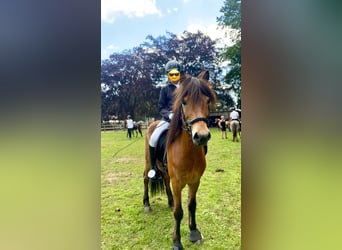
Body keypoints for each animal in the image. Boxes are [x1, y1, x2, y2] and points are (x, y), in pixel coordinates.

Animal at [143, 70, 215, 250]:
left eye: (207, 101)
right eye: (184, 102)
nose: (201, 136)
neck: (188, 152)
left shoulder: (195, 181)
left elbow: (191, 205)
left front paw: (194, 231)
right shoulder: (177, 183)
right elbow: (179, 212)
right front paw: (176, 241)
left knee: (165, 179)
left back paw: (169, 201)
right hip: (148, 162)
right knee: (146, 178)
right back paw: (146, 204)